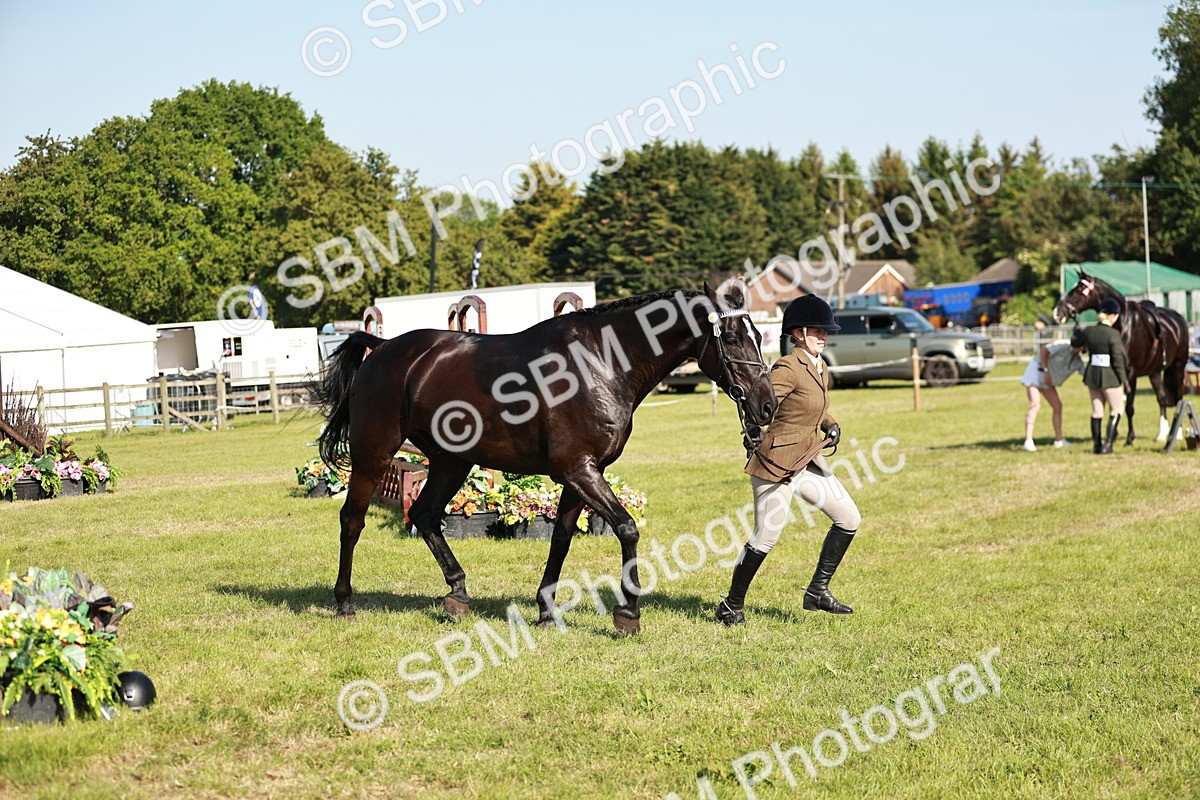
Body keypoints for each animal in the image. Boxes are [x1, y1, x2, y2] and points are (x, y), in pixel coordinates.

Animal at [313, 280, 776, 634]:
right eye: (731, 338)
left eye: (758, 336)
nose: (767, 406)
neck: (601, 363)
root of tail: (383, 348)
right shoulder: (579, 470)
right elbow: (626, 528)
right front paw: (628, 613)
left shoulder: (582, 474)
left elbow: (561, 539)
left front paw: (546, 610)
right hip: (374, 454)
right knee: (353, 520)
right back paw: (345, 602)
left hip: (451, 462)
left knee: (425, 515)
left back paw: (457, 593)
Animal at [1053, 269, 1190, 445]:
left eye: (1078, 290)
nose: (1057, 313)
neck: (1123, 325)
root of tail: (1178, 319)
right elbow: (1114, 403)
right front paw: (1113, 434)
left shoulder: (1130, 375)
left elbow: (1129, 407)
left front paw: (1129, 438)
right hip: (1154, 372)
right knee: (1162, 398)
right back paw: (1162, 434)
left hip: (1178, 368)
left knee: (1179, 398)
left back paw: (1177, 434)